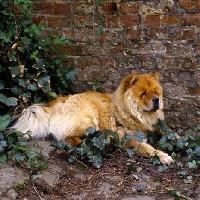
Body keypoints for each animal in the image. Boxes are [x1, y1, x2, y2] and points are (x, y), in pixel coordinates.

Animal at [10, 72, 173, 165]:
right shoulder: (128, 140)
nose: (157, 100)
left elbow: (169, 133)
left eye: (156, 91)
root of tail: (53, 105)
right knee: (67, 139)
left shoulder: (157, 126)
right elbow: (148, 149)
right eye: (143, 93)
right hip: (89, 120)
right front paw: (163, 156)